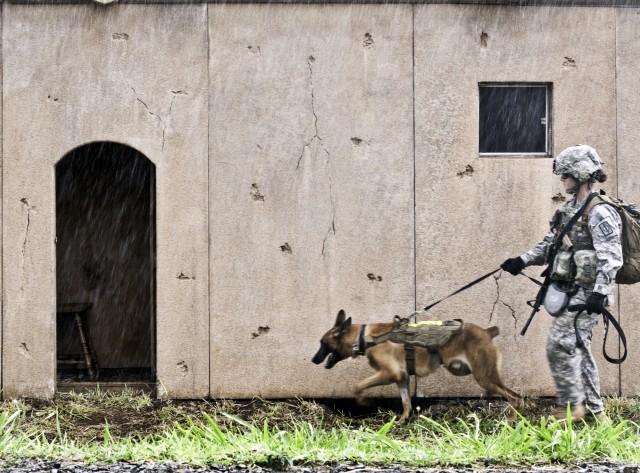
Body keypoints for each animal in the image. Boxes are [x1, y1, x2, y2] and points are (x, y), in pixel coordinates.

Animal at [312, 310, 524, 420]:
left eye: (323, 343)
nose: (313, 360)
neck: (365, 337)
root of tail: (487, 332)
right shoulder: (402, 378)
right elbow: (406, 403)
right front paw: (402, 421)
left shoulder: (390, 374)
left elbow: (357, 386)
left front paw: (365, 403)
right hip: (485, 376)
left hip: (485, 377)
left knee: (516, 397)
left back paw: (511, 421)